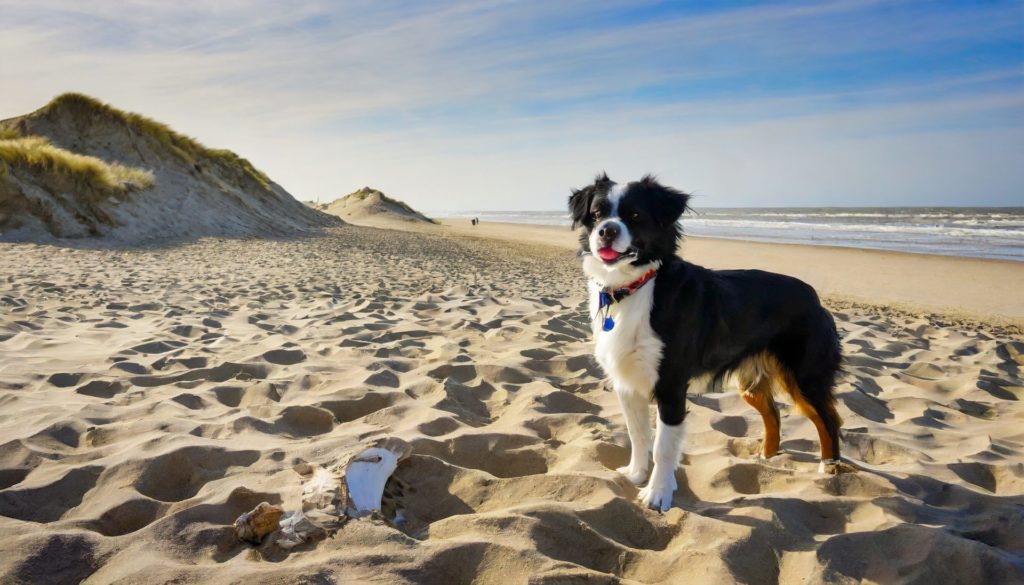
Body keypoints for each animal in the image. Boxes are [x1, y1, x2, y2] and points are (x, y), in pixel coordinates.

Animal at [569, 175, 839, 512]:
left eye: (635, 215)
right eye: (597, 214)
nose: (606, 231)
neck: (634, 287)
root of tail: (814, 296)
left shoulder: (671, 386)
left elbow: (663, 446)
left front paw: (657, 494)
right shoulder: (626, 382)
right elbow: (638, 433)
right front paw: (635, 474)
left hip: (804, 378)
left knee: (829, 419)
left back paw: (829, 468)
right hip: (751, 383)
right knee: (773, 414)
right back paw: (766, 457)